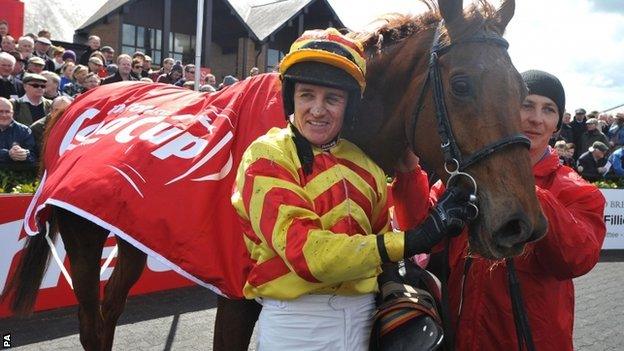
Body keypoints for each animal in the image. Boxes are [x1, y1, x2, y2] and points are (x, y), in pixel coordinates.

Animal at [1, 1, 544, 350]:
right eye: (461, 84)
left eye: (521, 90)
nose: (521, 224)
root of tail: (74, 105)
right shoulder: (236, 299)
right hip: (83, 235)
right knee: (91, 323)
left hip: (134, 233)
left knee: (110, 312)